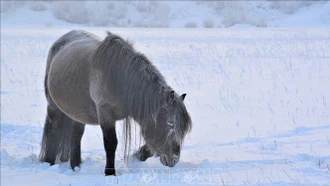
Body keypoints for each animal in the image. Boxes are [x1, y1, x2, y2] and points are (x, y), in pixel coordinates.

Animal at [38, 30, 192, 176]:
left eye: (183, 129)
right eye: (170, 124)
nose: (174, 160)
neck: (119, 77)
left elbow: (150, 144)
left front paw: (138, 155)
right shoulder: (106, 114)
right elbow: (111, 143)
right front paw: (110, 173)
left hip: (77, 112)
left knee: (76, 135)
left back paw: (76, 167)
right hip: (53, 107)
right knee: (54, 130)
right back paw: (49, 163)